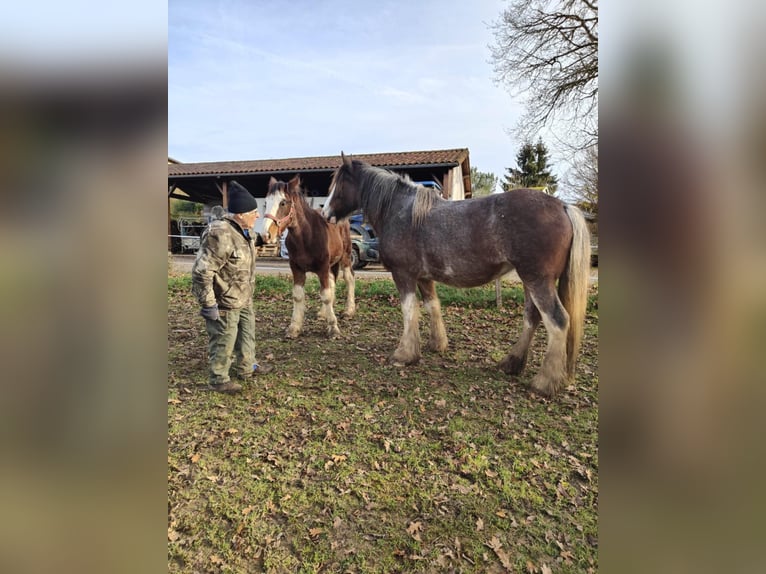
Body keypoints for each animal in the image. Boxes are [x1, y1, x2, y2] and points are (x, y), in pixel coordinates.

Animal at [260, 176, 356, 338]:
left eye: (283, 203)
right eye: (266, 203)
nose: (265, 235)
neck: (306, 237)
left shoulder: (322, 267)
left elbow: (326, 294)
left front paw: (333, 328)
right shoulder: (296, 268)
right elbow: (298, 295)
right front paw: (294, 327)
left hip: (345, 257)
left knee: (348, 278)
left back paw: (349, 311)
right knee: (332, 282)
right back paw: (323, 313)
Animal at [324, 154, 592, 400]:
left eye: (339, 184)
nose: (325, 213)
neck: (400, 211)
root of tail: (563, 206)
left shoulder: (404, 275)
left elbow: (409, 311)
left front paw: (404, 354)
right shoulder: (424, 278)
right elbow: (432, 306)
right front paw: (436, 344)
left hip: (538, 281)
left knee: (557, 321)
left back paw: (544, 383)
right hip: (530, 281)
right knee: (532, 317)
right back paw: (511, 364)